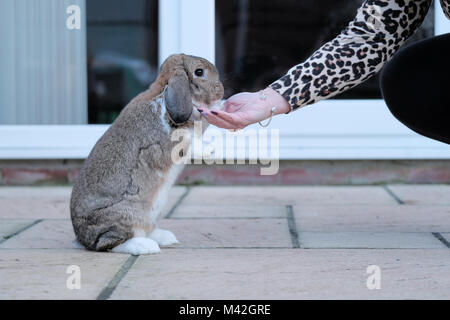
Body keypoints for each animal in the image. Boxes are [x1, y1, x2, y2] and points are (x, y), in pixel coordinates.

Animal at [70, 54, 223, 255]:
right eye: (199, 72)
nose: (221, 91)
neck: (163, 95)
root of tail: (82, 238)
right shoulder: (174, 142)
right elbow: (191, 143)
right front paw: (211, 149)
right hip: (126, 216)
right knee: (109, 243)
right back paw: (145, 247)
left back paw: (165, 238)